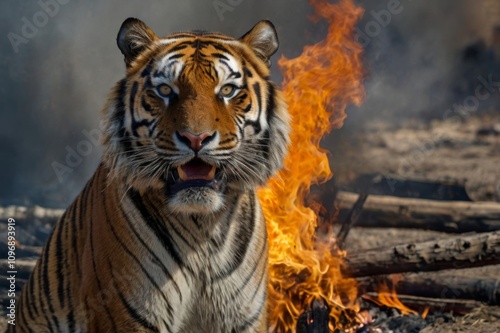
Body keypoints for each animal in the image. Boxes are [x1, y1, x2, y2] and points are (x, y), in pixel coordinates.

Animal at [10, 17, 290, 332]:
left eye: (228, 90)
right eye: (166, 90)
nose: (196, 138)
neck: (202, 229)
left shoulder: (242, 318)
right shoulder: (127, 314)